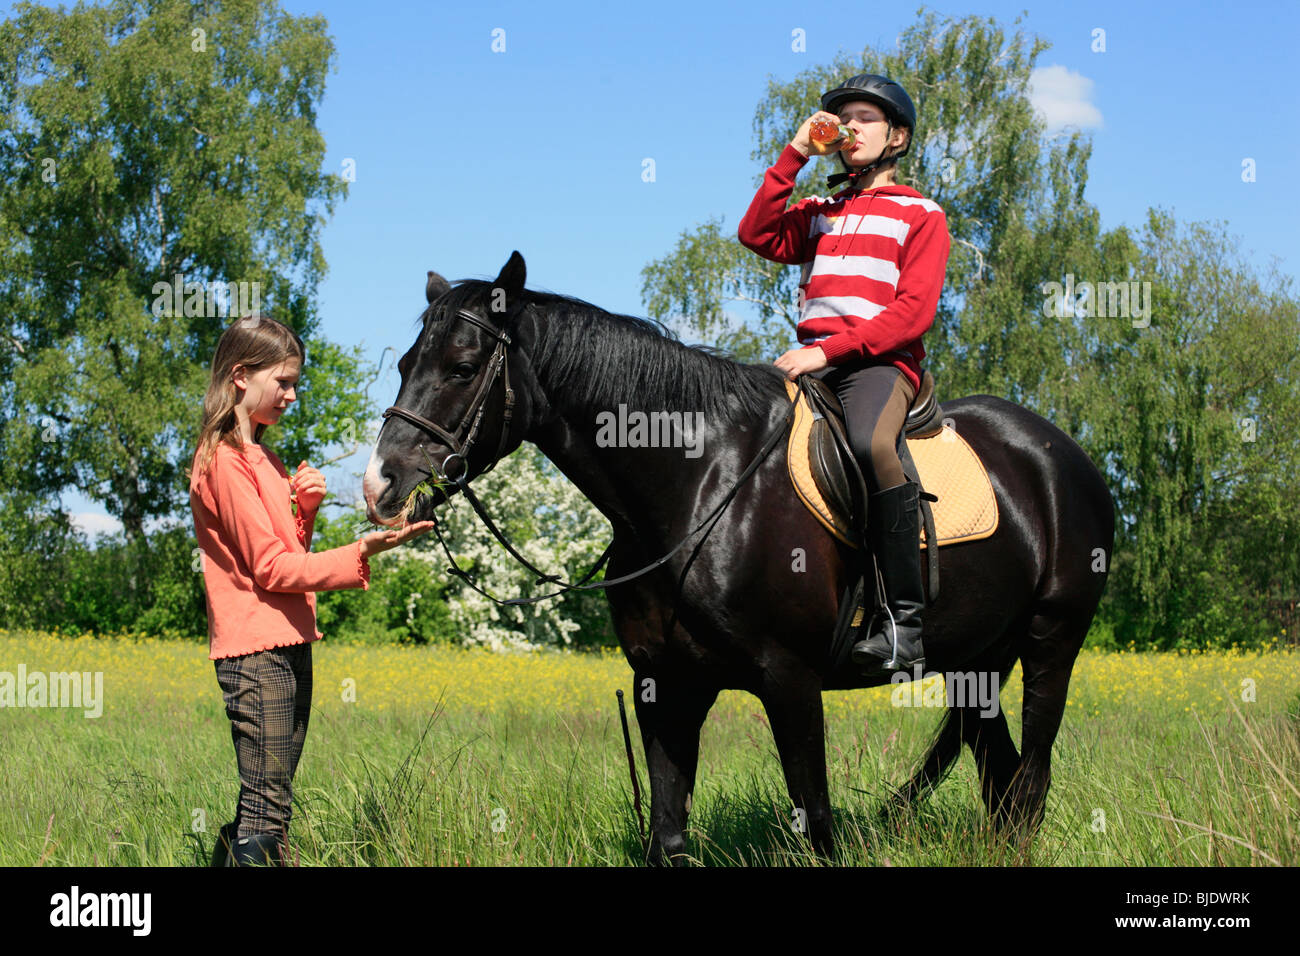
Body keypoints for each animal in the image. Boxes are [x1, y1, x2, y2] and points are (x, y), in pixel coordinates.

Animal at [362, 251, 1115, 865]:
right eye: (403, 365)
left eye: (462, 369)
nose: (379, 485)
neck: (697, 486)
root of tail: (1062, 455)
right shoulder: (666, 684)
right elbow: (668, 837)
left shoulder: (791, 681)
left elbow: (818, 828)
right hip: (974, 663)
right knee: (1004, 784)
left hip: (1051, 642)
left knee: (1032, 780)